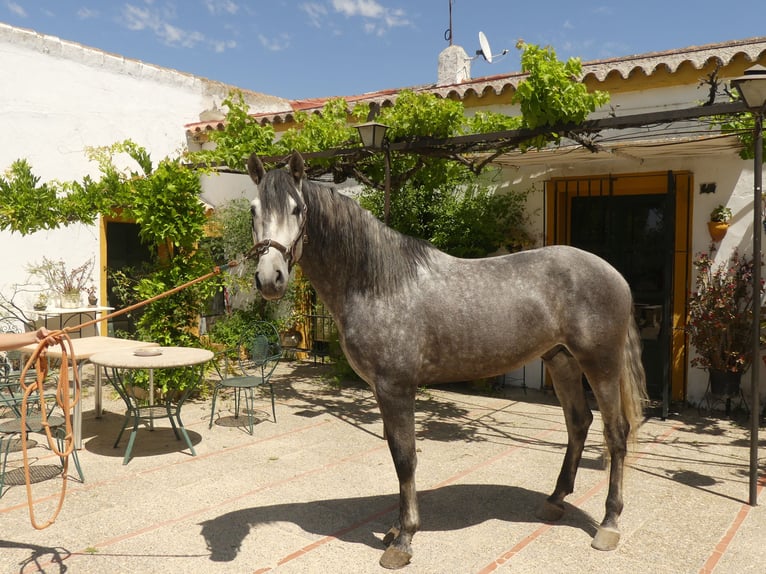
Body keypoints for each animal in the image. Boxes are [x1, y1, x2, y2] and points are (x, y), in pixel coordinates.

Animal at [246, 152, 648, 572]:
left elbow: (405, 458)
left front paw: (403, 539)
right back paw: (555, 501)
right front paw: (395, 528)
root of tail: (614, 274)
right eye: (253, 210)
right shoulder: (383, 391)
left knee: (616, 433)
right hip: (561, 360)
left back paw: (609, 523)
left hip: (600, 364)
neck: (378, 284)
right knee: (579, 423)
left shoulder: (397, 388)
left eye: (296, 208)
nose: (270, 279)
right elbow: (396, 453)